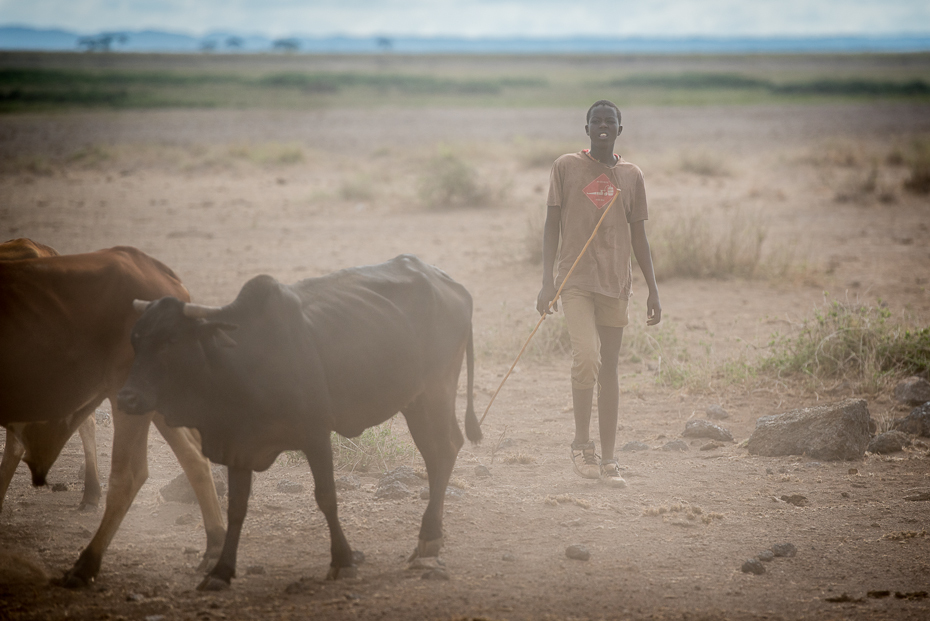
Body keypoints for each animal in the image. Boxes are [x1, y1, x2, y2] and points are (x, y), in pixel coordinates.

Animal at [116, 254, 478, 588]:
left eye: (171, 340)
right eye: (135, 338)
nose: (127, 398)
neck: (243, 361)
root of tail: (451, 284)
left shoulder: (316, 435)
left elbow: (327, 497)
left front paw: (343, 560)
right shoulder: (238, 445)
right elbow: (236, 507)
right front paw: (221, 570)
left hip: (436, 391)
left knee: (444, 449)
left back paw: (429, 539)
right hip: (416, 402)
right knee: (437, 453)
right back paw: (428, 542)